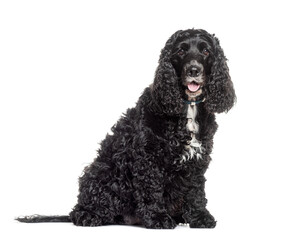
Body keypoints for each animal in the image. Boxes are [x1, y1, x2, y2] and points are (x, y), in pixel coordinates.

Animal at [17, 28, 236, 229]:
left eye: (206, 51)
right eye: (181, 51)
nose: (193, 70)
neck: (188, 108)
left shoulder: (198, 159)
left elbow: (195, 191)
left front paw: (200, 217)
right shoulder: (148, 157)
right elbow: (151, 189)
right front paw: (158, 218)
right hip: (102, 171)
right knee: (79, 211)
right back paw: (90, 216)